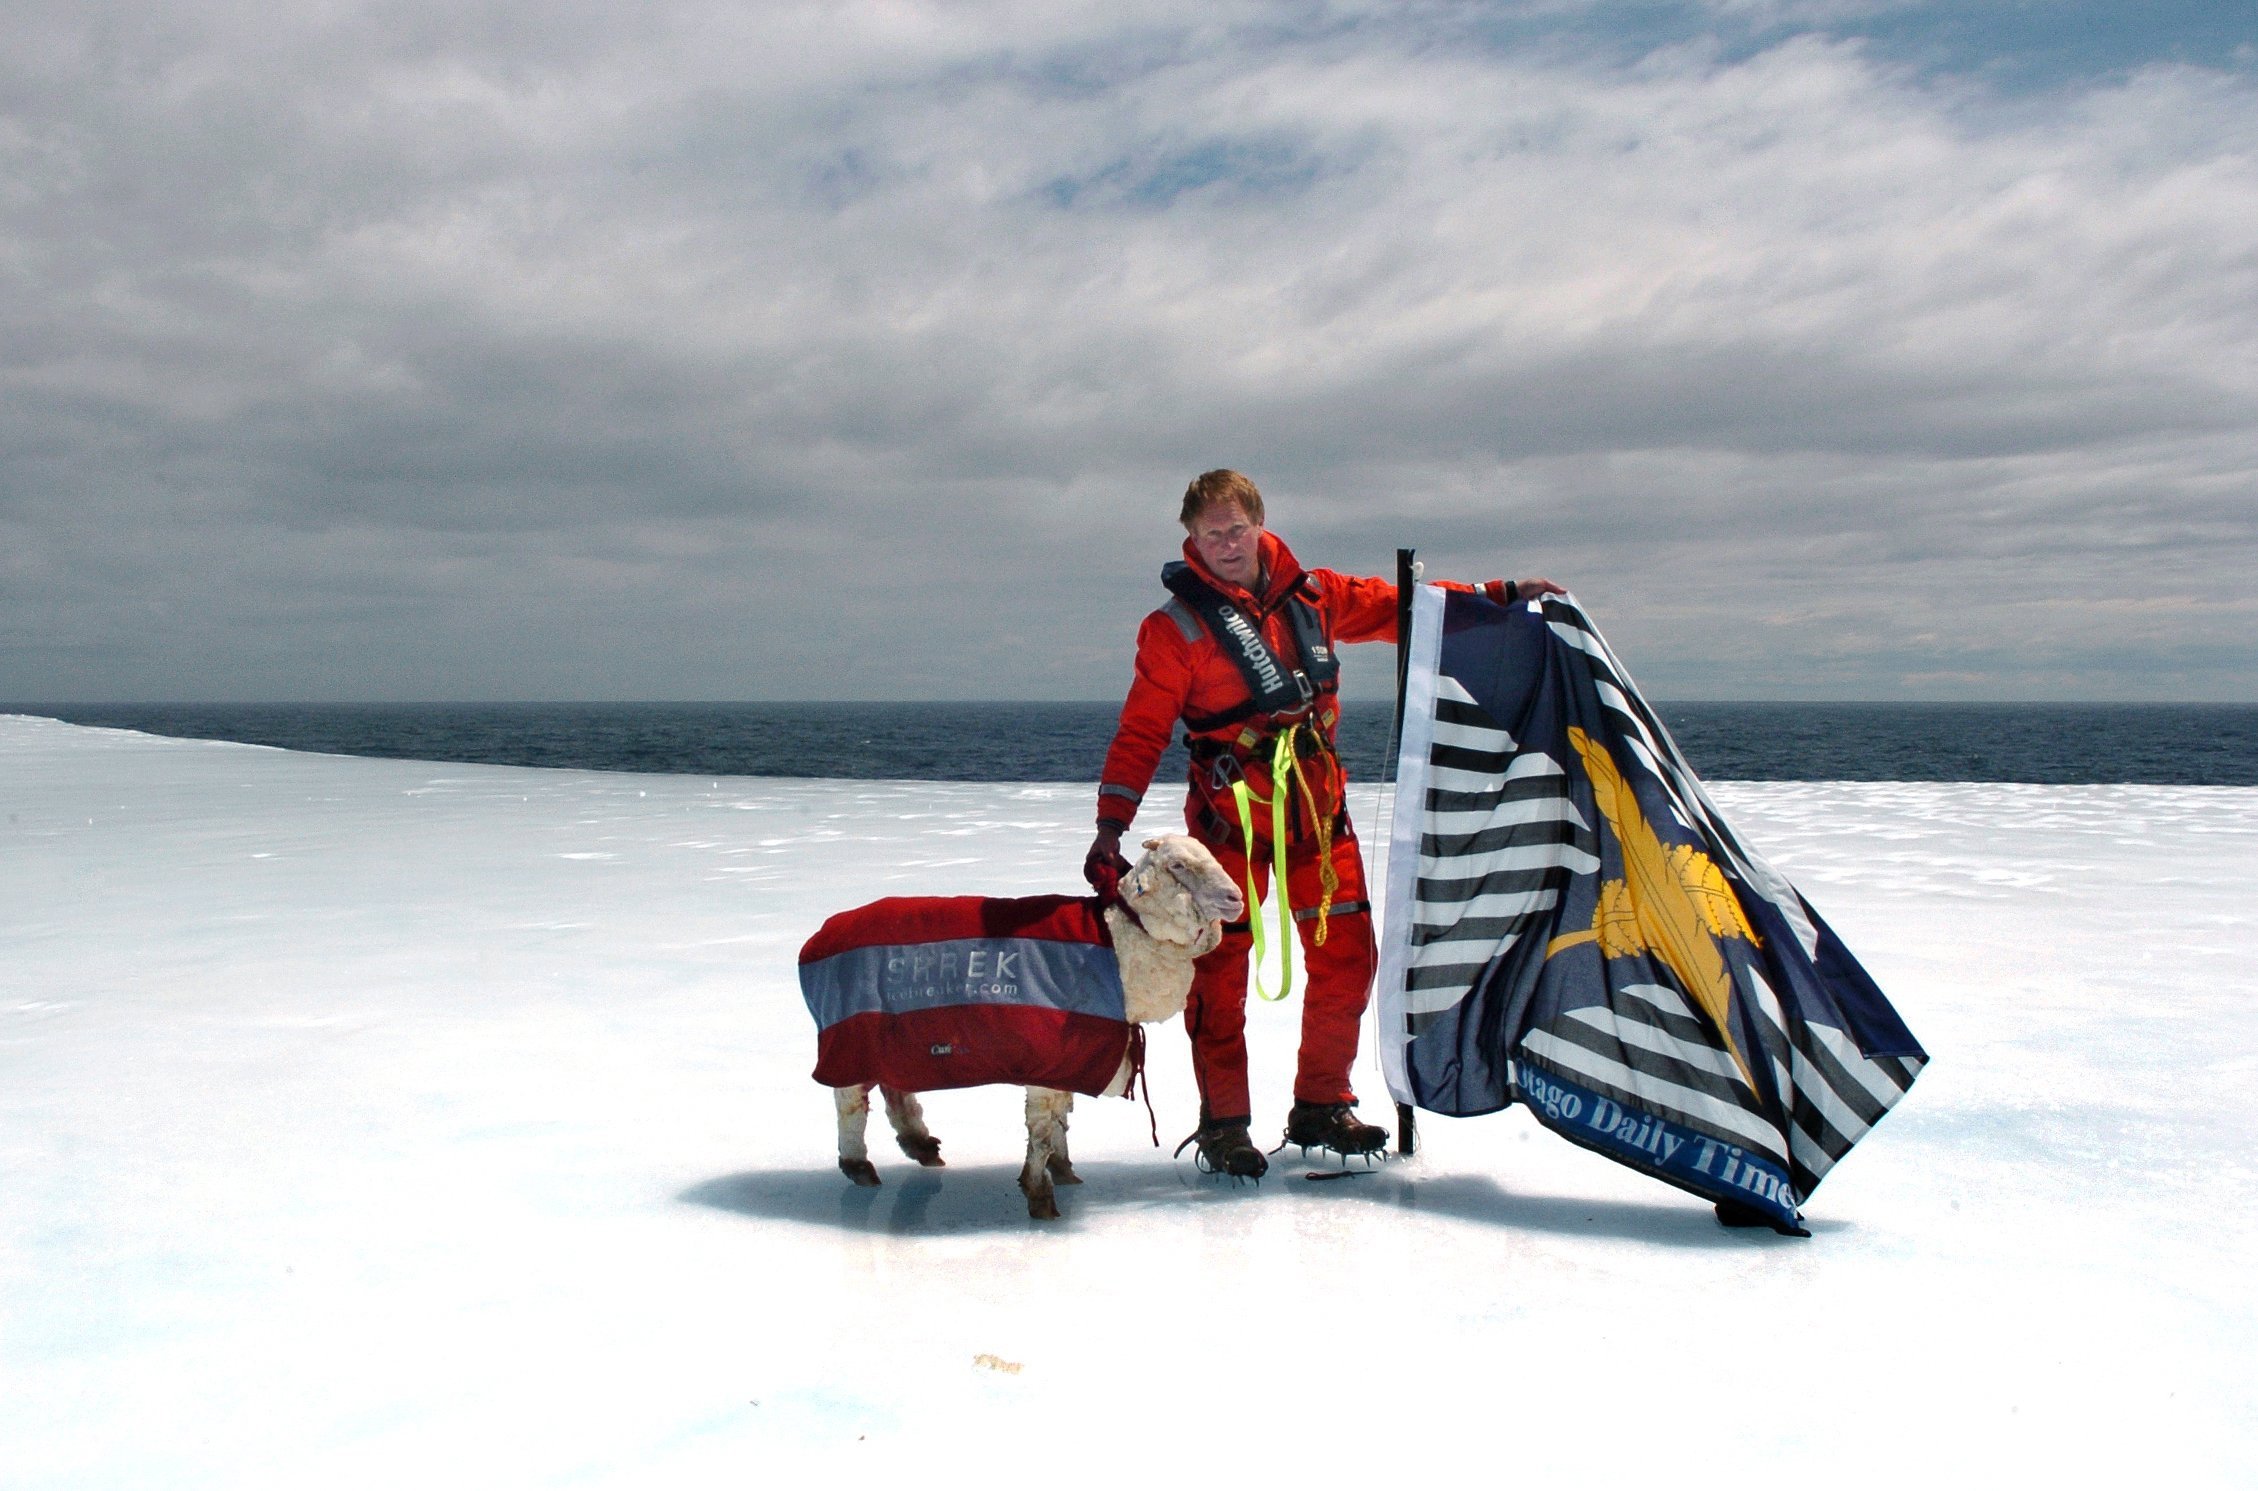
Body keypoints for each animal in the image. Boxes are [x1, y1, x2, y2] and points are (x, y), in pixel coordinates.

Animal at [803, 831, 1246, 1219]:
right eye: (1177, 865)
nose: (1236, 898)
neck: (1116, 942)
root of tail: (819, 935)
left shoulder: (1069, 1059)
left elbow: (1060, 1120)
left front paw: (1063, 1171)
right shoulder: (1049, 1057)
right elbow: (1043, 1127)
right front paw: (1041, 1198)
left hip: (894, 1036)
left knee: (895, 1089)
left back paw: (921, 1146)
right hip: (851, 1033)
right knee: (850, 1102)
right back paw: (858, 1165)